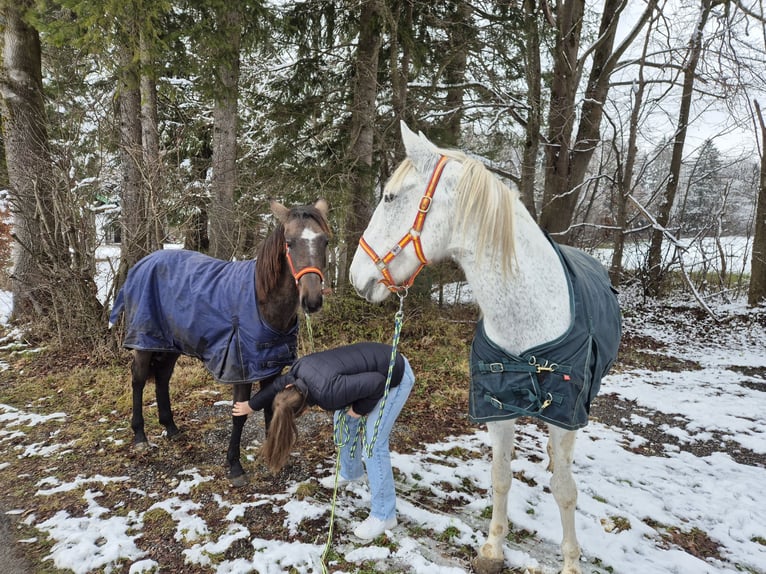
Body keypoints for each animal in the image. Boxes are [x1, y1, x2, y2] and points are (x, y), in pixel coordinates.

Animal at [109, 200, 332, 488]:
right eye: (290, 243)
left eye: (325, 241)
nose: (312, 300)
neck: (262, 301)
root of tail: (142, 264)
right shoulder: (242, 370)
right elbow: (239, 415)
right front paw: (235, 467)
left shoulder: (270, 367)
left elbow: (269, 408)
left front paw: (273, 458)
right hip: (145, 343)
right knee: (137, 380)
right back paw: (140, 436)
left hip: (171, 345)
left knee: (162, 379)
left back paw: (171, 428)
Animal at [350, 124, 624, 572]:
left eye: (389, 197)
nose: (357, 276)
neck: (525, 318)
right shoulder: (496, 407)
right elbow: (500, 476)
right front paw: (494, 547)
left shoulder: (566, 412)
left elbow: (565, 490)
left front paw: (570, 561)